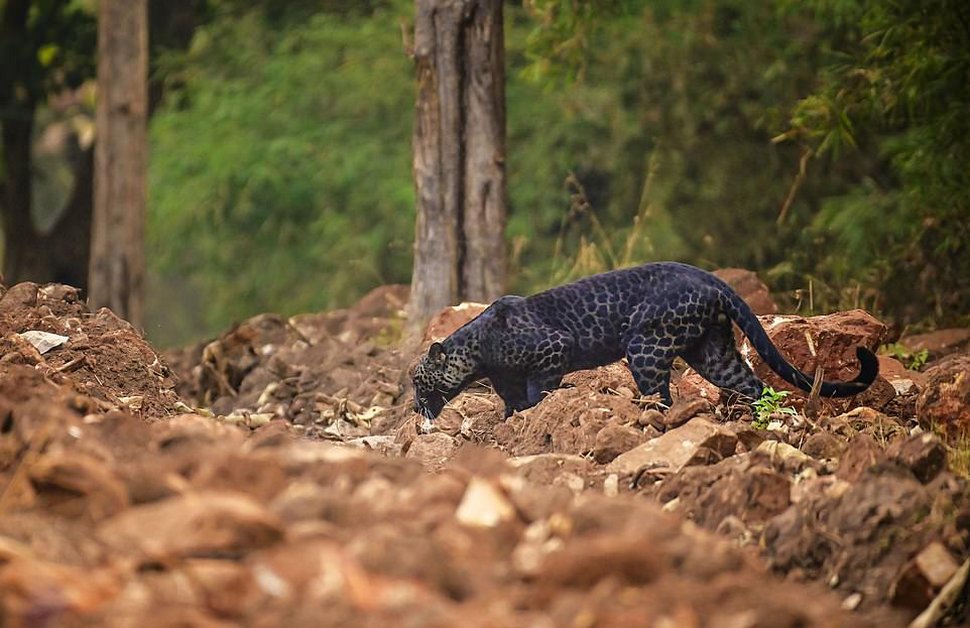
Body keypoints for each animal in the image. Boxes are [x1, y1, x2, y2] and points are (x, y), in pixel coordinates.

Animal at [412, 262, 878, 421]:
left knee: (663, 395)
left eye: (418, 382)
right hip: (712, 352)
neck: (478, 351)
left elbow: (535, 392)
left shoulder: (553, 348)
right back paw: (758, 419)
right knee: (753, 383)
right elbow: (510, 402)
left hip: (645, 348)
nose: (415, 407)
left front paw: (533, 414)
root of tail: (711, 278)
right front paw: (509, 424)